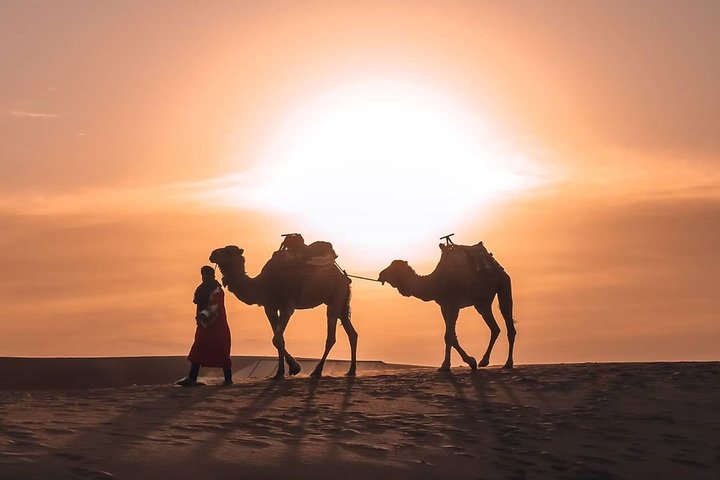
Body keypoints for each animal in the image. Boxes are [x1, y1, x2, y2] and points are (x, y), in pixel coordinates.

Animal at [209, 242, 358, 379]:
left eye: (228, 251)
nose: (212, 254)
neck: (264, 283)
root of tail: (344, 277)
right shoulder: (270, 307)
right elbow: (279, 338)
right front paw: (280, 372)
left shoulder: (287, 306)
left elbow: (276, 339)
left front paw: (295, 367)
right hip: (339, 303)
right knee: (352, 333)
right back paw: (351, 371)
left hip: (336, 297)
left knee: (331, 337)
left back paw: (317, 371)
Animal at [378, 240, 516, 370]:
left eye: (394, 269)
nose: (381, 274)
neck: (434, 282)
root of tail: (499, 269)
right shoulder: (444, 306)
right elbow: (450, 336)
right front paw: (464, 362)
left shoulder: (452, 305)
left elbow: (449, 336)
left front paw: (450, 365)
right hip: (483, 302)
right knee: (495, 328)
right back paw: (485, 361)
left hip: (500, 288)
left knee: (507, 323)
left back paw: (507, 363)